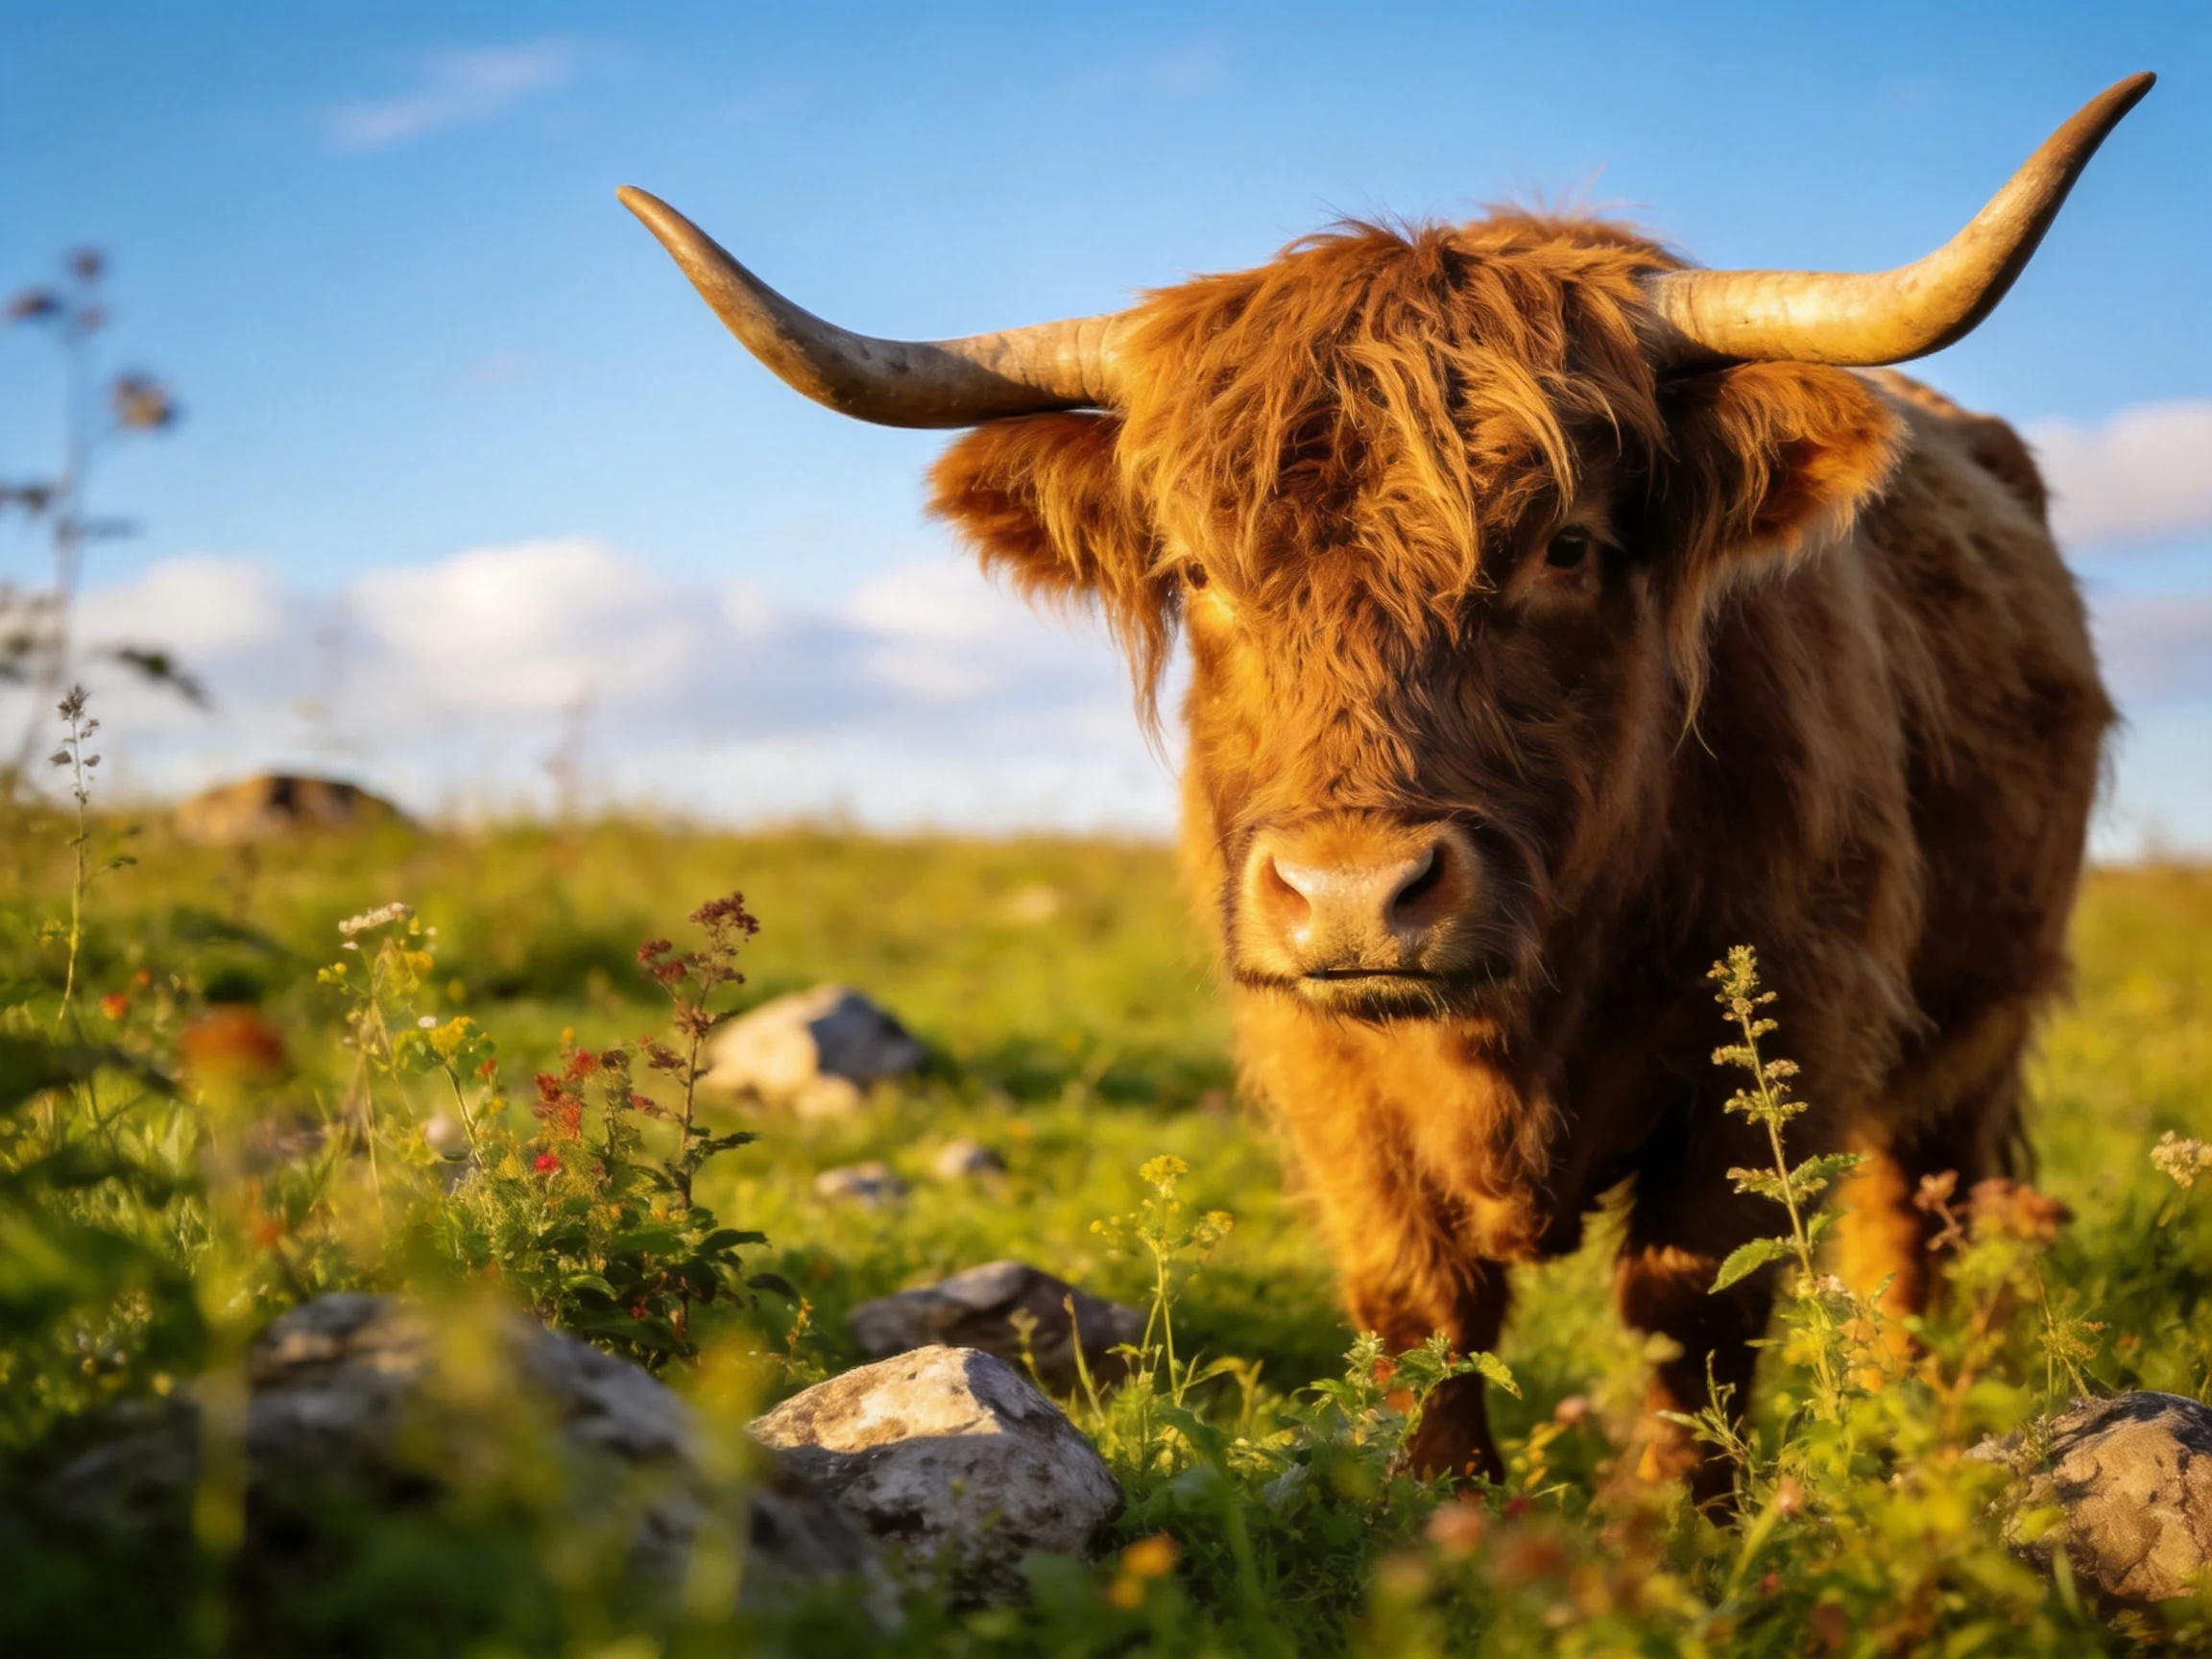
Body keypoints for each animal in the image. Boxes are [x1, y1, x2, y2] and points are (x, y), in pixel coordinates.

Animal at [620, 75, 2148, 1496]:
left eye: (1568, 544)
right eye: (1195, 571)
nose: (1354, 894)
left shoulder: (1795, 1015)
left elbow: (1693, 1309)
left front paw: (1684, 1540)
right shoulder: (1321, 1063)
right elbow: (1422, 1312)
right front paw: (1440, 1521)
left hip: (1978, 1019)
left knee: (1923, 1219)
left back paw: (1910, 1432)